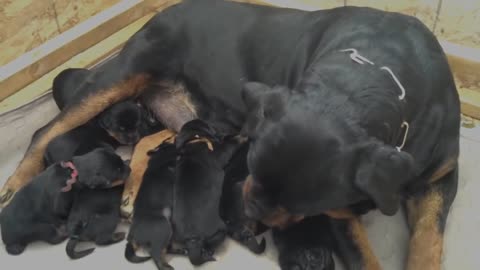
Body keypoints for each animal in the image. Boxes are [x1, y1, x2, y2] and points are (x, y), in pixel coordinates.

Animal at [0, 148, 129, 255]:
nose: (130, 168)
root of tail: (7, 240)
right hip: (40, 228)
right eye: (118, 170)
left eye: (120, 159)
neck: (73, 171)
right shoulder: (61, 202)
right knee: (53, 238)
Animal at [172, 119, 242, 266]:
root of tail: (193, 240)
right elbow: (232, 143)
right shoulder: (221, 153)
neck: (193, 140)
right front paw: (242, 136)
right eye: (211, 125)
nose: (226, 131)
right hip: (220, 230)